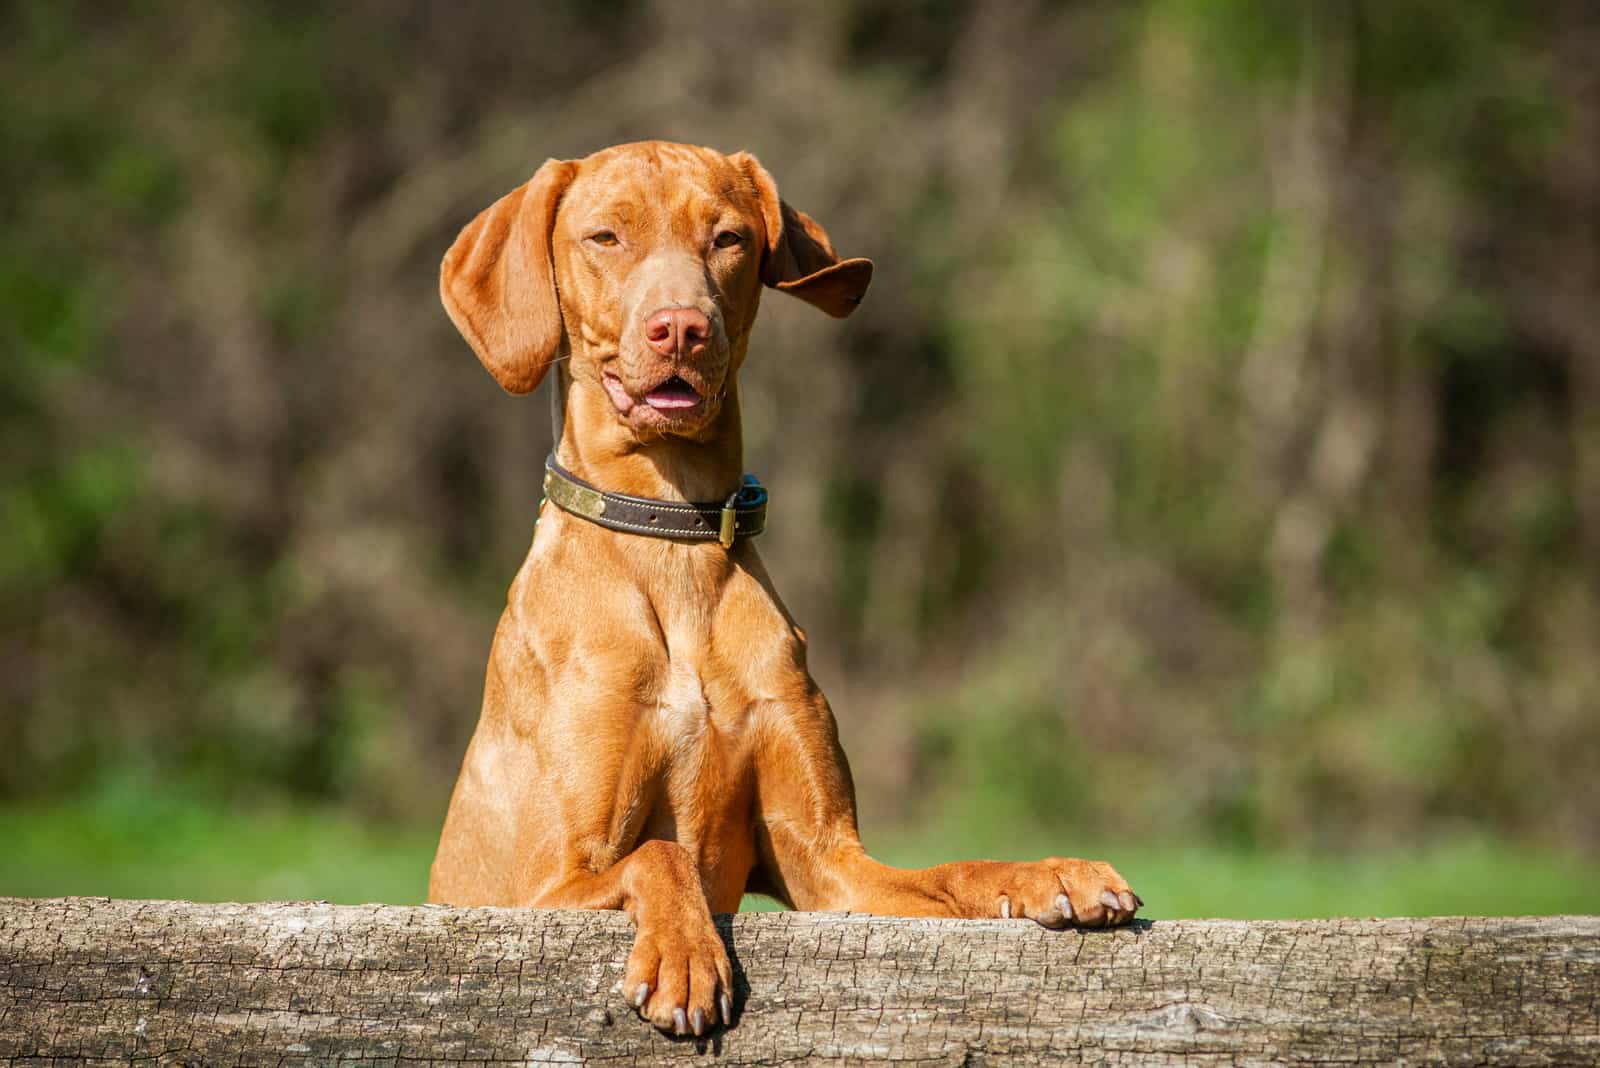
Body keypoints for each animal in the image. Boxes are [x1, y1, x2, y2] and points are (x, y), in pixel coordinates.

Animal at [432, 141, 1145, 1036]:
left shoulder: (828, 864)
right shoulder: (545, 883)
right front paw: (687, 955)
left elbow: (954, 869)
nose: (682, 327)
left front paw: (1047, 872)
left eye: (728, 238)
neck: (674, 542)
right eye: (605, 237)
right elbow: (660, 854)